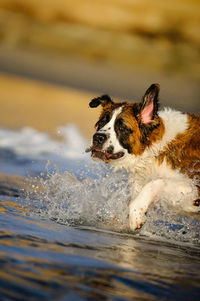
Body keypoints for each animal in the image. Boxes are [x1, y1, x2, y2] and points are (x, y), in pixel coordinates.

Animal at [86, 83, 200, 231]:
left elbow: (156, 183)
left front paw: (136, 215)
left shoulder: (195, 189)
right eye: (101, 123)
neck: (156, 149)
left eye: (122, 128)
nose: (97, 137)